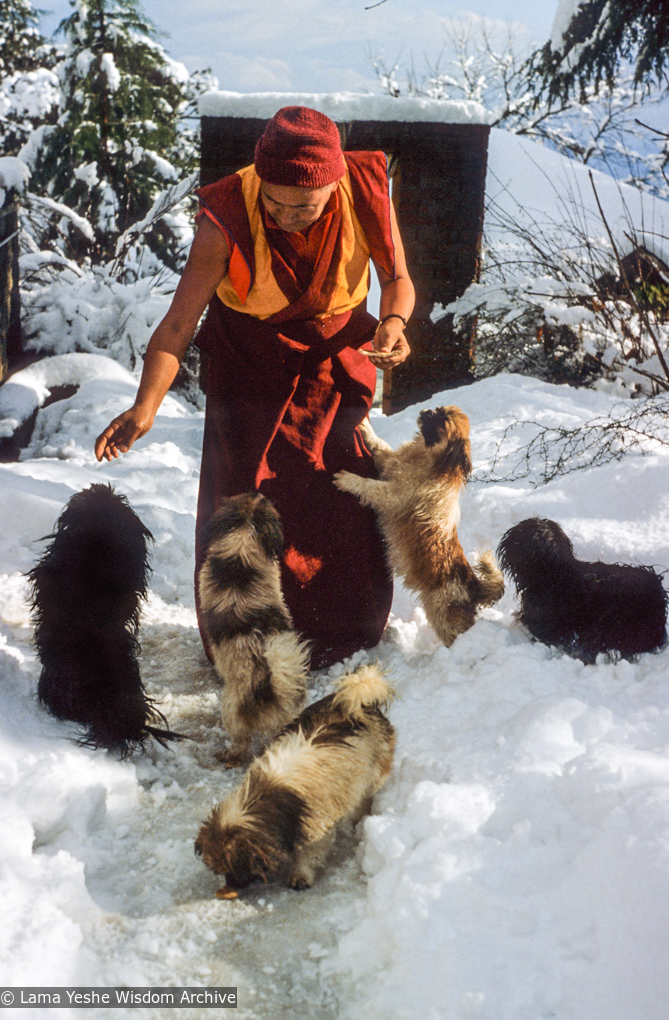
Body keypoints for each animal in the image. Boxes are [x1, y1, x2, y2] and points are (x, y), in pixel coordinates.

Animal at [193, 660, 393, 893]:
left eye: (233, 867)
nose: (232, 886)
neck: (267, 796)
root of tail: (359, 701)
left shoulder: (315, 830)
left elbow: (309, 855)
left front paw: (300, 875)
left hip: (374, 774)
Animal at [196, 491, 310, 767]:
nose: (258, 492)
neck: (242, 540)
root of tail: (272, 690)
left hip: (230, 706)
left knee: (241, 742)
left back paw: (228, 756)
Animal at [334, 405, 501, 644]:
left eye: (442, 423)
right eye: (439, 409)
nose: (426, 411)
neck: (427, 459)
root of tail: (473, 586)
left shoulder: (391, 495)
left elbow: (369, 485)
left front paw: (348, 480)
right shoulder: (389, 463)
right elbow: (380, 445)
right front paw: (365, 427)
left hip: (443, 618)